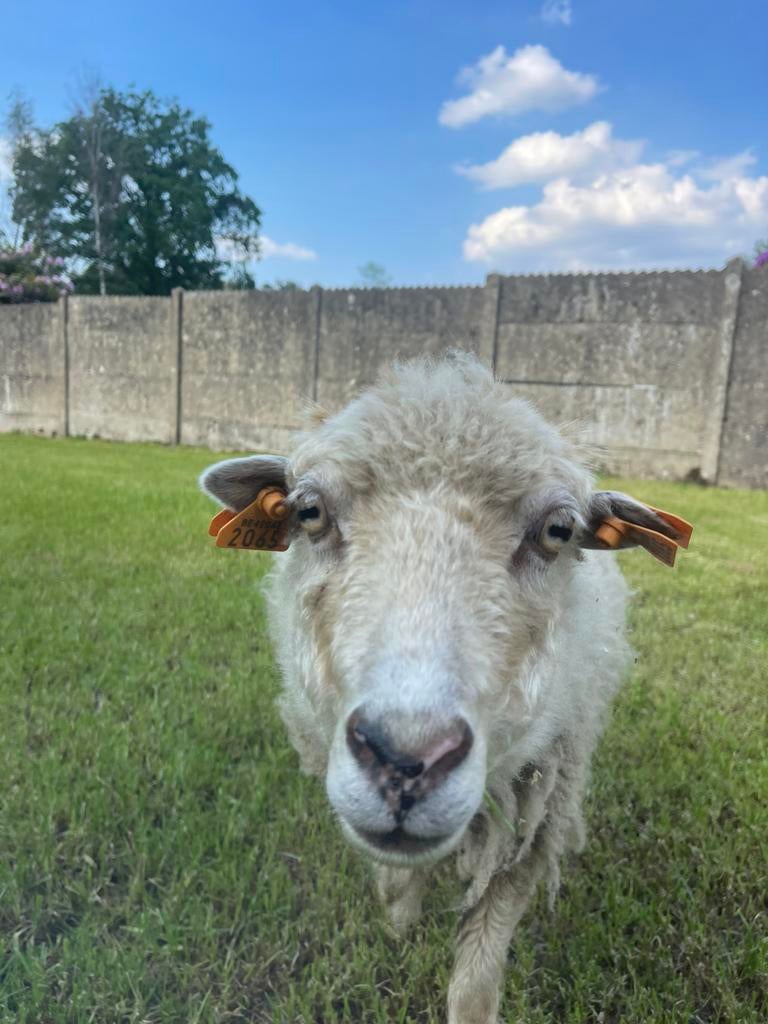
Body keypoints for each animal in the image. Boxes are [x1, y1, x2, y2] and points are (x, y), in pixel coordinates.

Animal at [200, 353, 684, 1024]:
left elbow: (477, 977)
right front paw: (399, 924)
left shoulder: (534, 819)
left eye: (559, 530)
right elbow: (395, 880)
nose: (406, 759)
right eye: (308, 513)